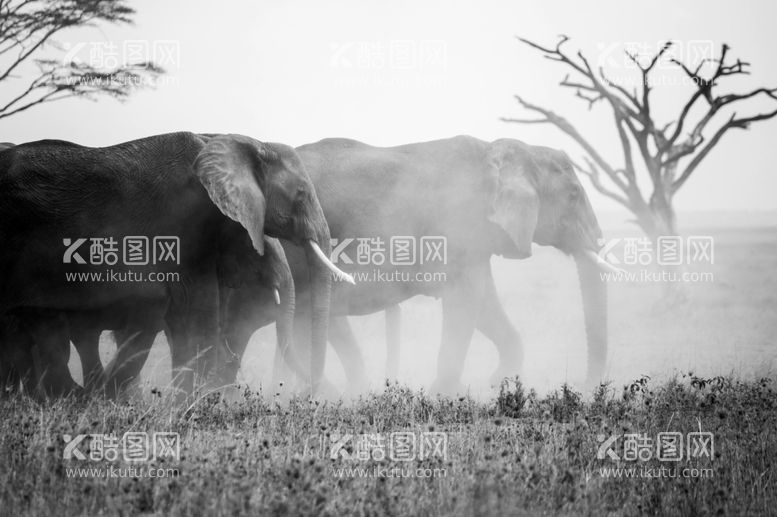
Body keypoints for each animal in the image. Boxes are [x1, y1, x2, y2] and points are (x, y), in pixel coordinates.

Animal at [0, 132, 350, 396]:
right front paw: (196, 407)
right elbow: (199, 315)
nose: (305, 394)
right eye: (301, 193)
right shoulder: (185, 226)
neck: (242, 142)